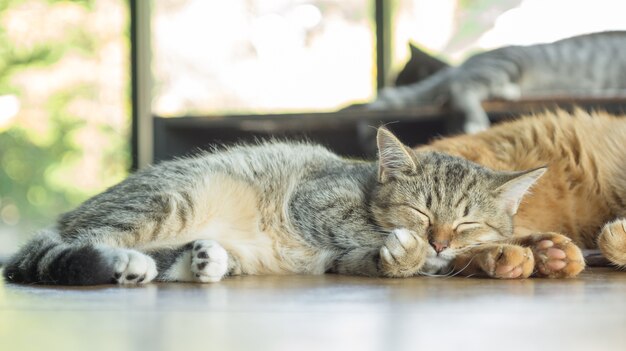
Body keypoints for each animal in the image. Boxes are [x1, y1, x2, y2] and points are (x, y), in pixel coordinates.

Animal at [3, 127, 572, 286]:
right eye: (421, 213)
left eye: (467, 221)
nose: (439, 241)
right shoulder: (316, 201)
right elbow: (368, 234)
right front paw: (411, 251)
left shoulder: (346, 260)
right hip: (171, 200)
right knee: (85, 243)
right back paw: (127, 264)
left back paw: (204, 260)